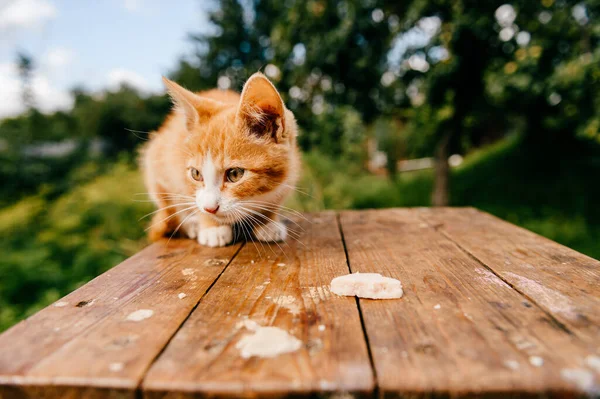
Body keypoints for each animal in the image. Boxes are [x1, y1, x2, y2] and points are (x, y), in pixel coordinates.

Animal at [139, 72, 300, 247]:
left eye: (235, 174)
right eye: (195, 174)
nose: (210, 208)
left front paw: (268, 222)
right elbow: (193, 199)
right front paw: (212, 227)